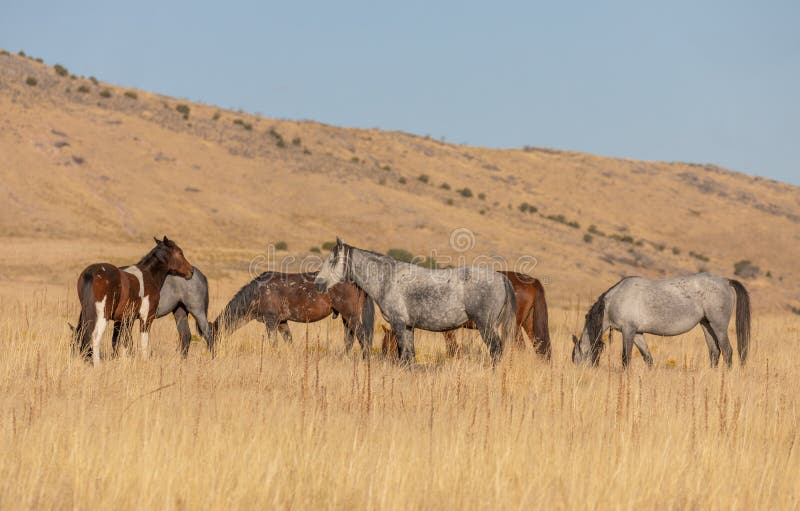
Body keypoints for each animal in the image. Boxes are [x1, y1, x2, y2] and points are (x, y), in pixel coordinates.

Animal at [71, 236, 194, 366]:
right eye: (180, 252)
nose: (191, 271)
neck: (149, 275)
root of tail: (91, 273)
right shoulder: (146, 319)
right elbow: (143, 343)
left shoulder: (125, 320)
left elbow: (123, 343)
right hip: (102, 316)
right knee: (95, 338)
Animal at [210, 271, 374, 356]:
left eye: (212, 336)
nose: (212, 354)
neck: (257, 292)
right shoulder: (282, 322)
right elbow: (289, 341)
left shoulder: (271, 321)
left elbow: (274, 343)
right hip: (346, 318)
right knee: (349, 339)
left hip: (351, 316)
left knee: (362, 336)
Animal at [314, 238, 517, 365]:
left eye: (332, 260)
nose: (317, 283)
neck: (388, 279)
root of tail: (501, 278)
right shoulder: (409, 327)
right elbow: (410, 356)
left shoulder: (398, 324)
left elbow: (403, 355)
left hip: (486, 326)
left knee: (495, 351)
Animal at [379, 270, 550, 359]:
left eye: (388, 342)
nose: (385, 357)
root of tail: (532, 280)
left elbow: (451, 344)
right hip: (528, 324)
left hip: (515, 326)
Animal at [571, 273, 750, 368]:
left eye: (577, 360)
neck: (615, 300)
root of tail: (726, 281)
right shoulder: (637, 334)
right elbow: (648, 358)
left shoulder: (628, 331)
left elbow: (625, 358)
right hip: (707, 326)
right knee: (714, 352)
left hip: (719, 327)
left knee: (727, 352)